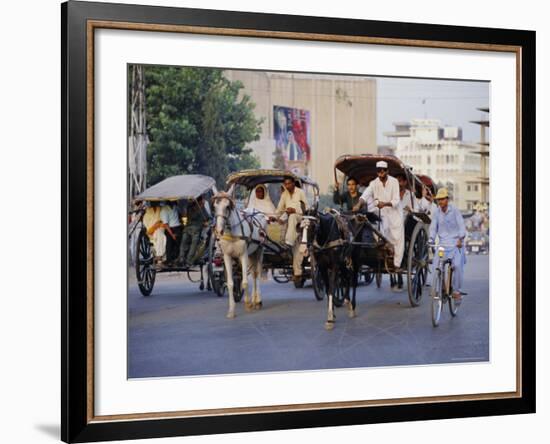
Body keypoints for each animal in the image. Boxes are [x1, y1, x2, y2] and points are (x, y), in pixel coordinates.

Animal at [212, 192, 268, 320]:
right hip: (251, 253)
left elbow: (245, 282)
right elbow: (230, 283)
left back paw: (258, 301)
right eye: (214, 207)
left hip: (259, 250)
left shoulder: (243, 255)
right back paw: (254, 300)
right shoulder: (227, 256)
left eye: (227, 206)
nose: (219, 231)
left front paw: (247, 304)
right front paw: (231, 310)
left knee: (257, 273)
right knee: (253, 274)